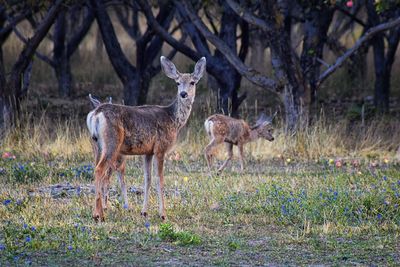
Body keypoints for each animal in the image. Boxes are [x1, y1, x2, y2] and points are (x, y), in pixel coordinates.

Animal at [86, 56, 206, 222]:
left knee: (97, 168)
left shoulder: (148, 152)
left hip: (96, 145)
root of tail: (96, 113)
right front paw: (163, 214)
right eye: (177, 82)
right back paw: (100, 215)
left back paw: (96, 212)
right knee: (100, 170)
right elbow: (159, 179)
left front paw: (144, 212)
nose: (183, 94)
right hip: (112, 142)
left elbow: (147, 179)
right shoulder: (160, 148)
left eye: (192, 82)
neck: (173, 119)